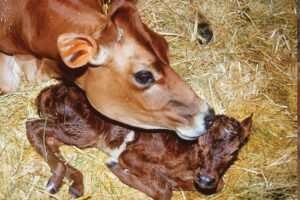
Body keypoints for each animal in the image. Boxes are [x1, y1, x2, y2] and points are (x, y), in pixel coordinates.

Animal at [25, 82, 252, 199]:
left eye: (233, 152)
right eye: (200, 143)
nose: (205, 179)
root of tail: (48, 91)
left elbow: (219, 184)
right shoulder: (130, 153)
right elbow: (164, 189)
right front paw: (119, 169)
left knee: (51, 141)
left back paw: (75, 184)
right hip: (84, 129)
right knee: (33, 126)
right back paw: (55, 181)